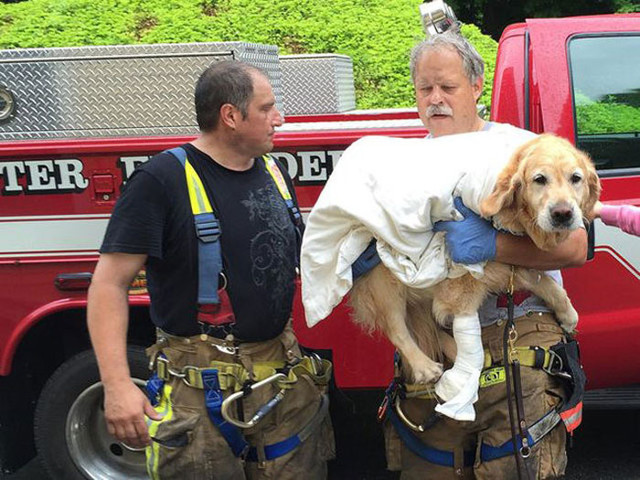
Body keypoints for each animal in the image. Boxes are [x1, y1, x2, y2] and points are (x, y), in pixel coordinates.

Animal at [348, 133, 604, 384]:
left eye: (576, 178)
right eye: (539, 179)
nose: (563, 214)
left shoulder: (508, 265)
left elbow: (547, 283)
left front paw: (568, 314)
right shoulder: (461, 281)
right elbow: (464, 316)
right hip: (385, 283)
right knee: (397, 329)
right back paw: (425, 367)